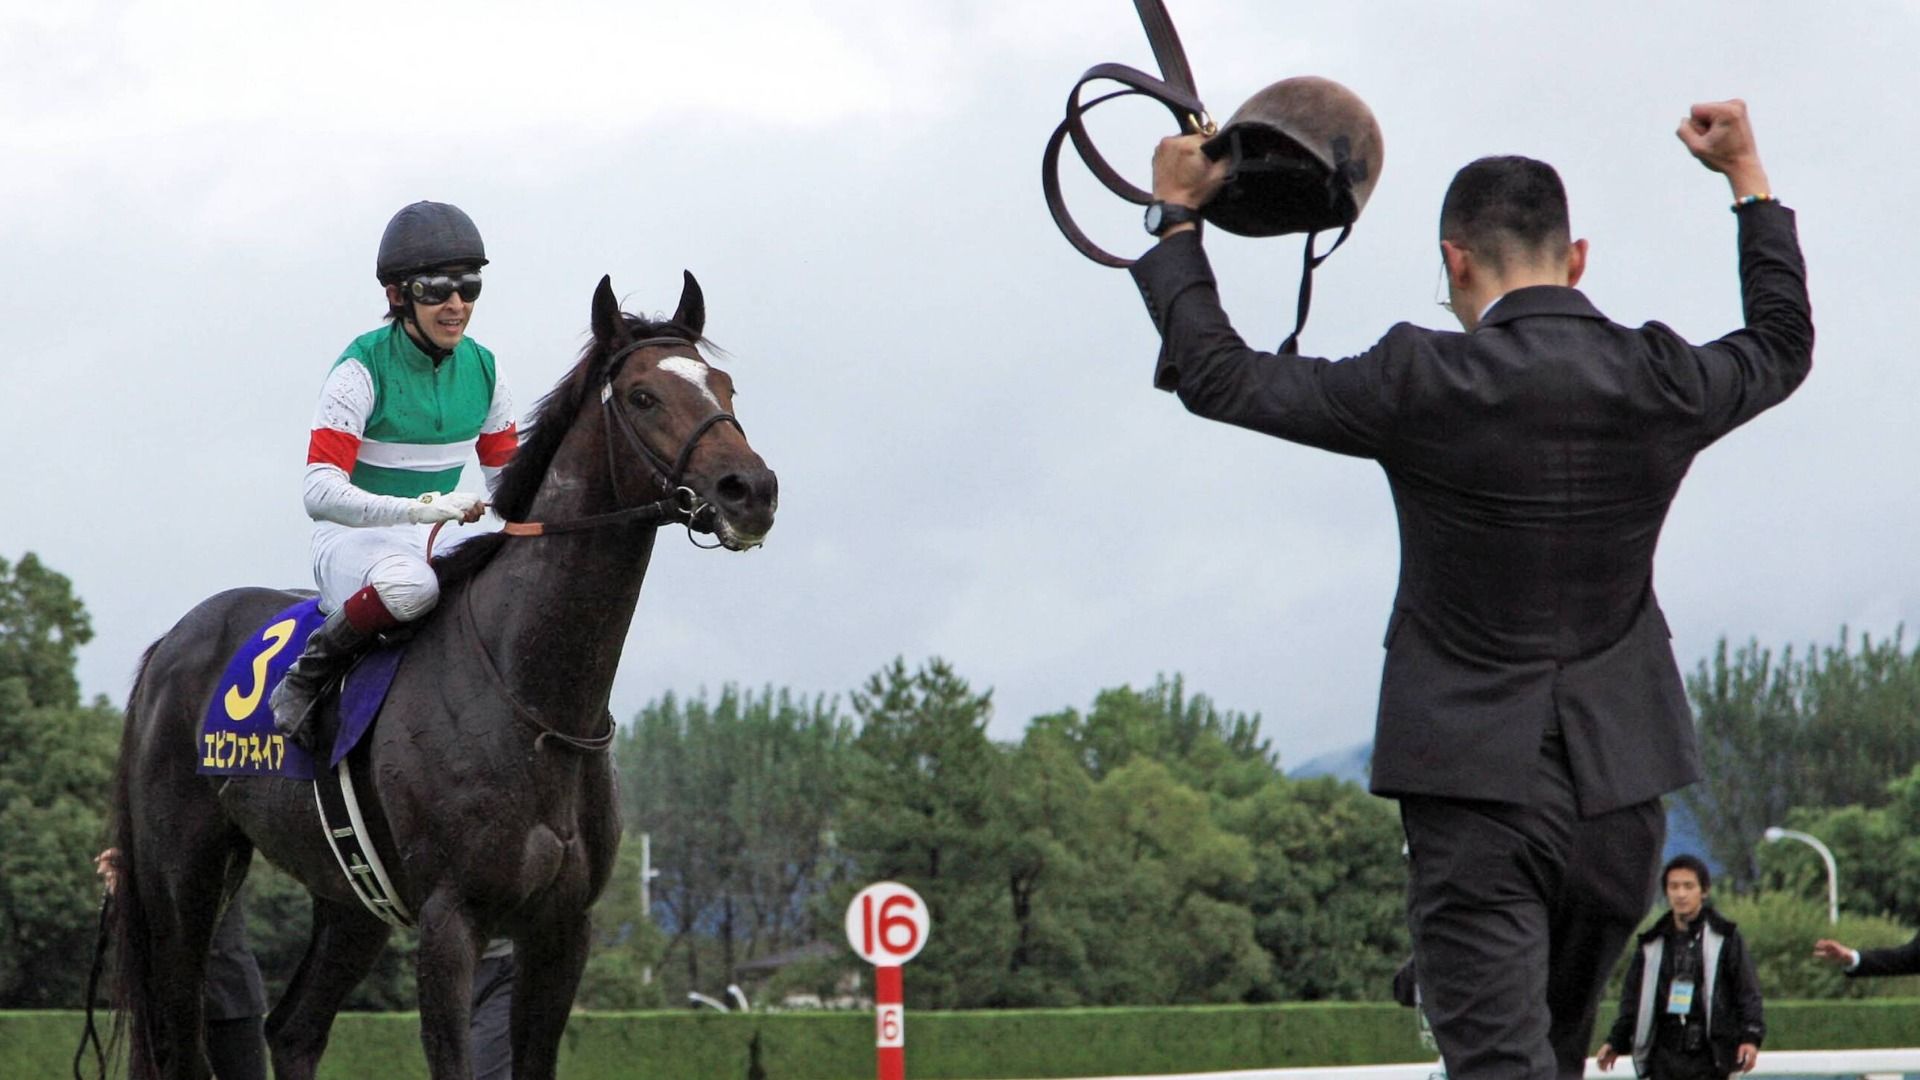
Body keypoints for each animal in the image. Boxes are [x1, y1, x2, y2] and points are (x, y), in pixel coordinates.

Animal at [103, 270, 779, 1076]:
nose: (751, 490)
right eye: (644, 396)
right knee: (180, 1036)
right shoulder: (452, 919)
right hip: (183, 879)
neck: (536, 700)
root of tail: (169, 645)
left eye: (724, 386)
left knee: (293, 1028)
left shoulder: (561, 929)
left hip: (349, 901)